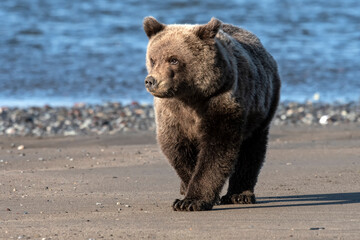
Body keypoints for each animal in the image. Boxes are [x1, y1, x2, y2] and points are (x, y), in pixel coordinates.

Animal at [142, 16, 280, 211]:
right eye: (153, 59)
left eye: (173, 59)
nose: (151, 81)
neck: (191, 96)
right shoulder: (172, 113)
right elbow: (177, 148)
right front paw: (188, 189)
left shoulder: (220, 101)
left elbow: (216, 150)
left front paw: (191, 201)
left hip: (261, 108)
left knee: (252, 150)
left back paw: (240, 195)